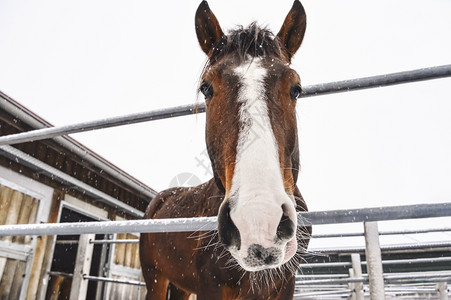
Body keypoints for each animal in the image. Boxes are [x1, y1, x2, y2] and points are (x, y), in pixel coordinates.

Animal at [140, 1, 310, 298]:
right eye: (206, 88)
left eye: (296, 88)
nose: (258, 221)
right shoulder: (212, 285)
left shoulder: (286, 284)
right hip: (155, 279)